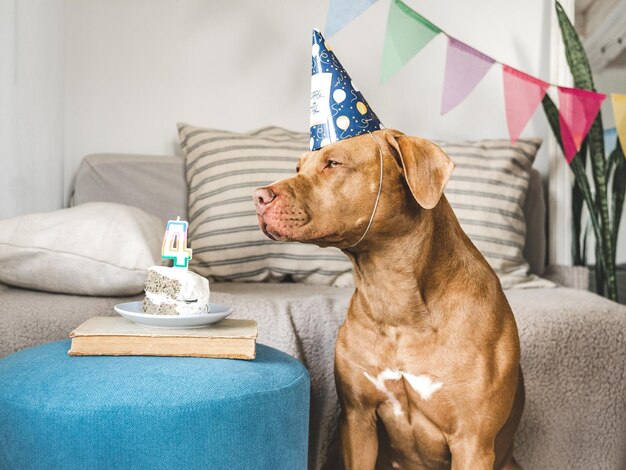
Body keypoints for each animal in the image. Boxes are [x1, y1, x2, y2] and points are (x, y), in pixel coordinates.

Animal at [252, 129, 520, 470]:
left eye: (333, 163)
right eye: (298, 167)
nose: (258, 196)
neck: (396, 303)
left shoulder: (473, 442)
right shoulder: (358, 420)